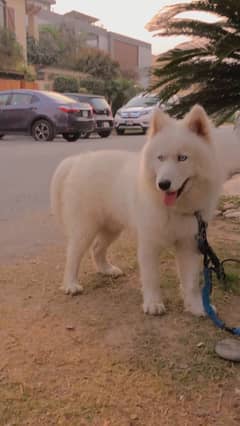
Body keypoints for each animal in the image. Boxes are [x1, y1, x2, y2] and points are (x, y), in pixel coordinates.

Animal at [50, 104, 229, 316]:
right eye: (160, 158)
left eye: (182, 158)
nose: (163, 184)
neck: (174, 207)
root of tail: (77, 160)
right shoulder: (149, 244)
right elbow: (151, 278)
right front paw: (153, 304)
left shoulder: (189, 245)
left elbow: (191, 283)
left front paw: (197, 307)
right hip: (85, 229)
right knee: (73, 255)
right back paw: (71, 285)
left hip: (111, 228)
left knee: (97, 248)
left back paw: (107, 270)